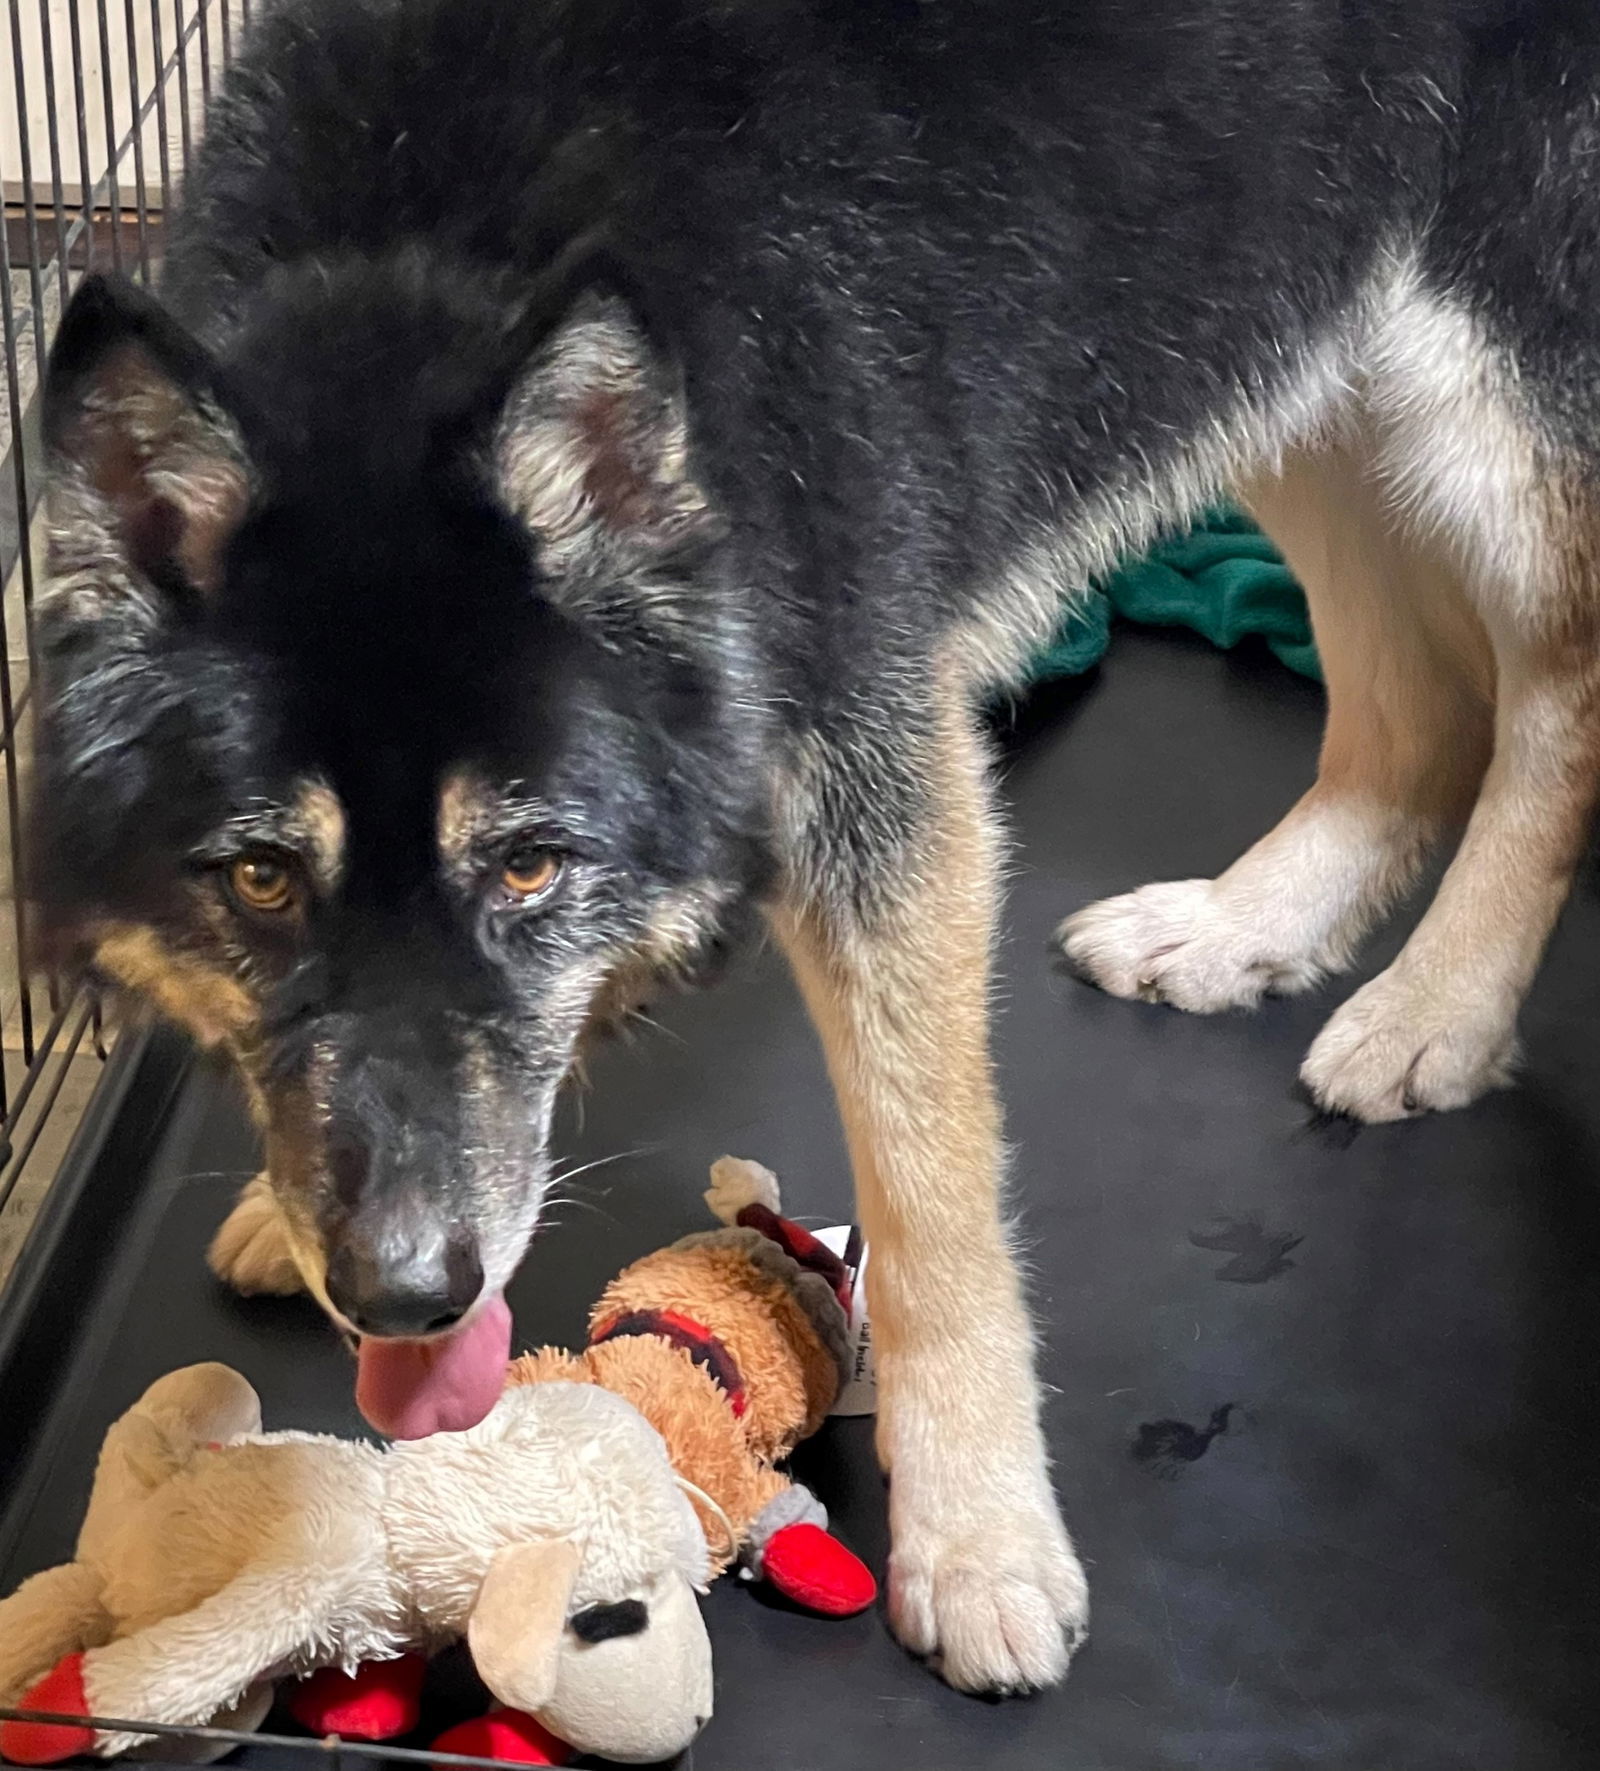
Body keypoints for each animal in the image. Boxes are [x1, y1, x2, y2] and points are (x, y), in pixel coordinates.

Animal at [28, 0, 1600, 1700]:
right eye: (260, 880)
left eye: (528, 867)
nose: (403, 1292)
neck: (431, 243)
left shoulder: (887, 792)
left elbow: (931, 1202)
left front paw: (979, 1534)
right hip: (1287, 332)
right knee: (1424, 705)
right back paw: (1250, 923)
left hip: (1483, 404)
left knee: (1550, 699)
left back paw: (1439, 1007)